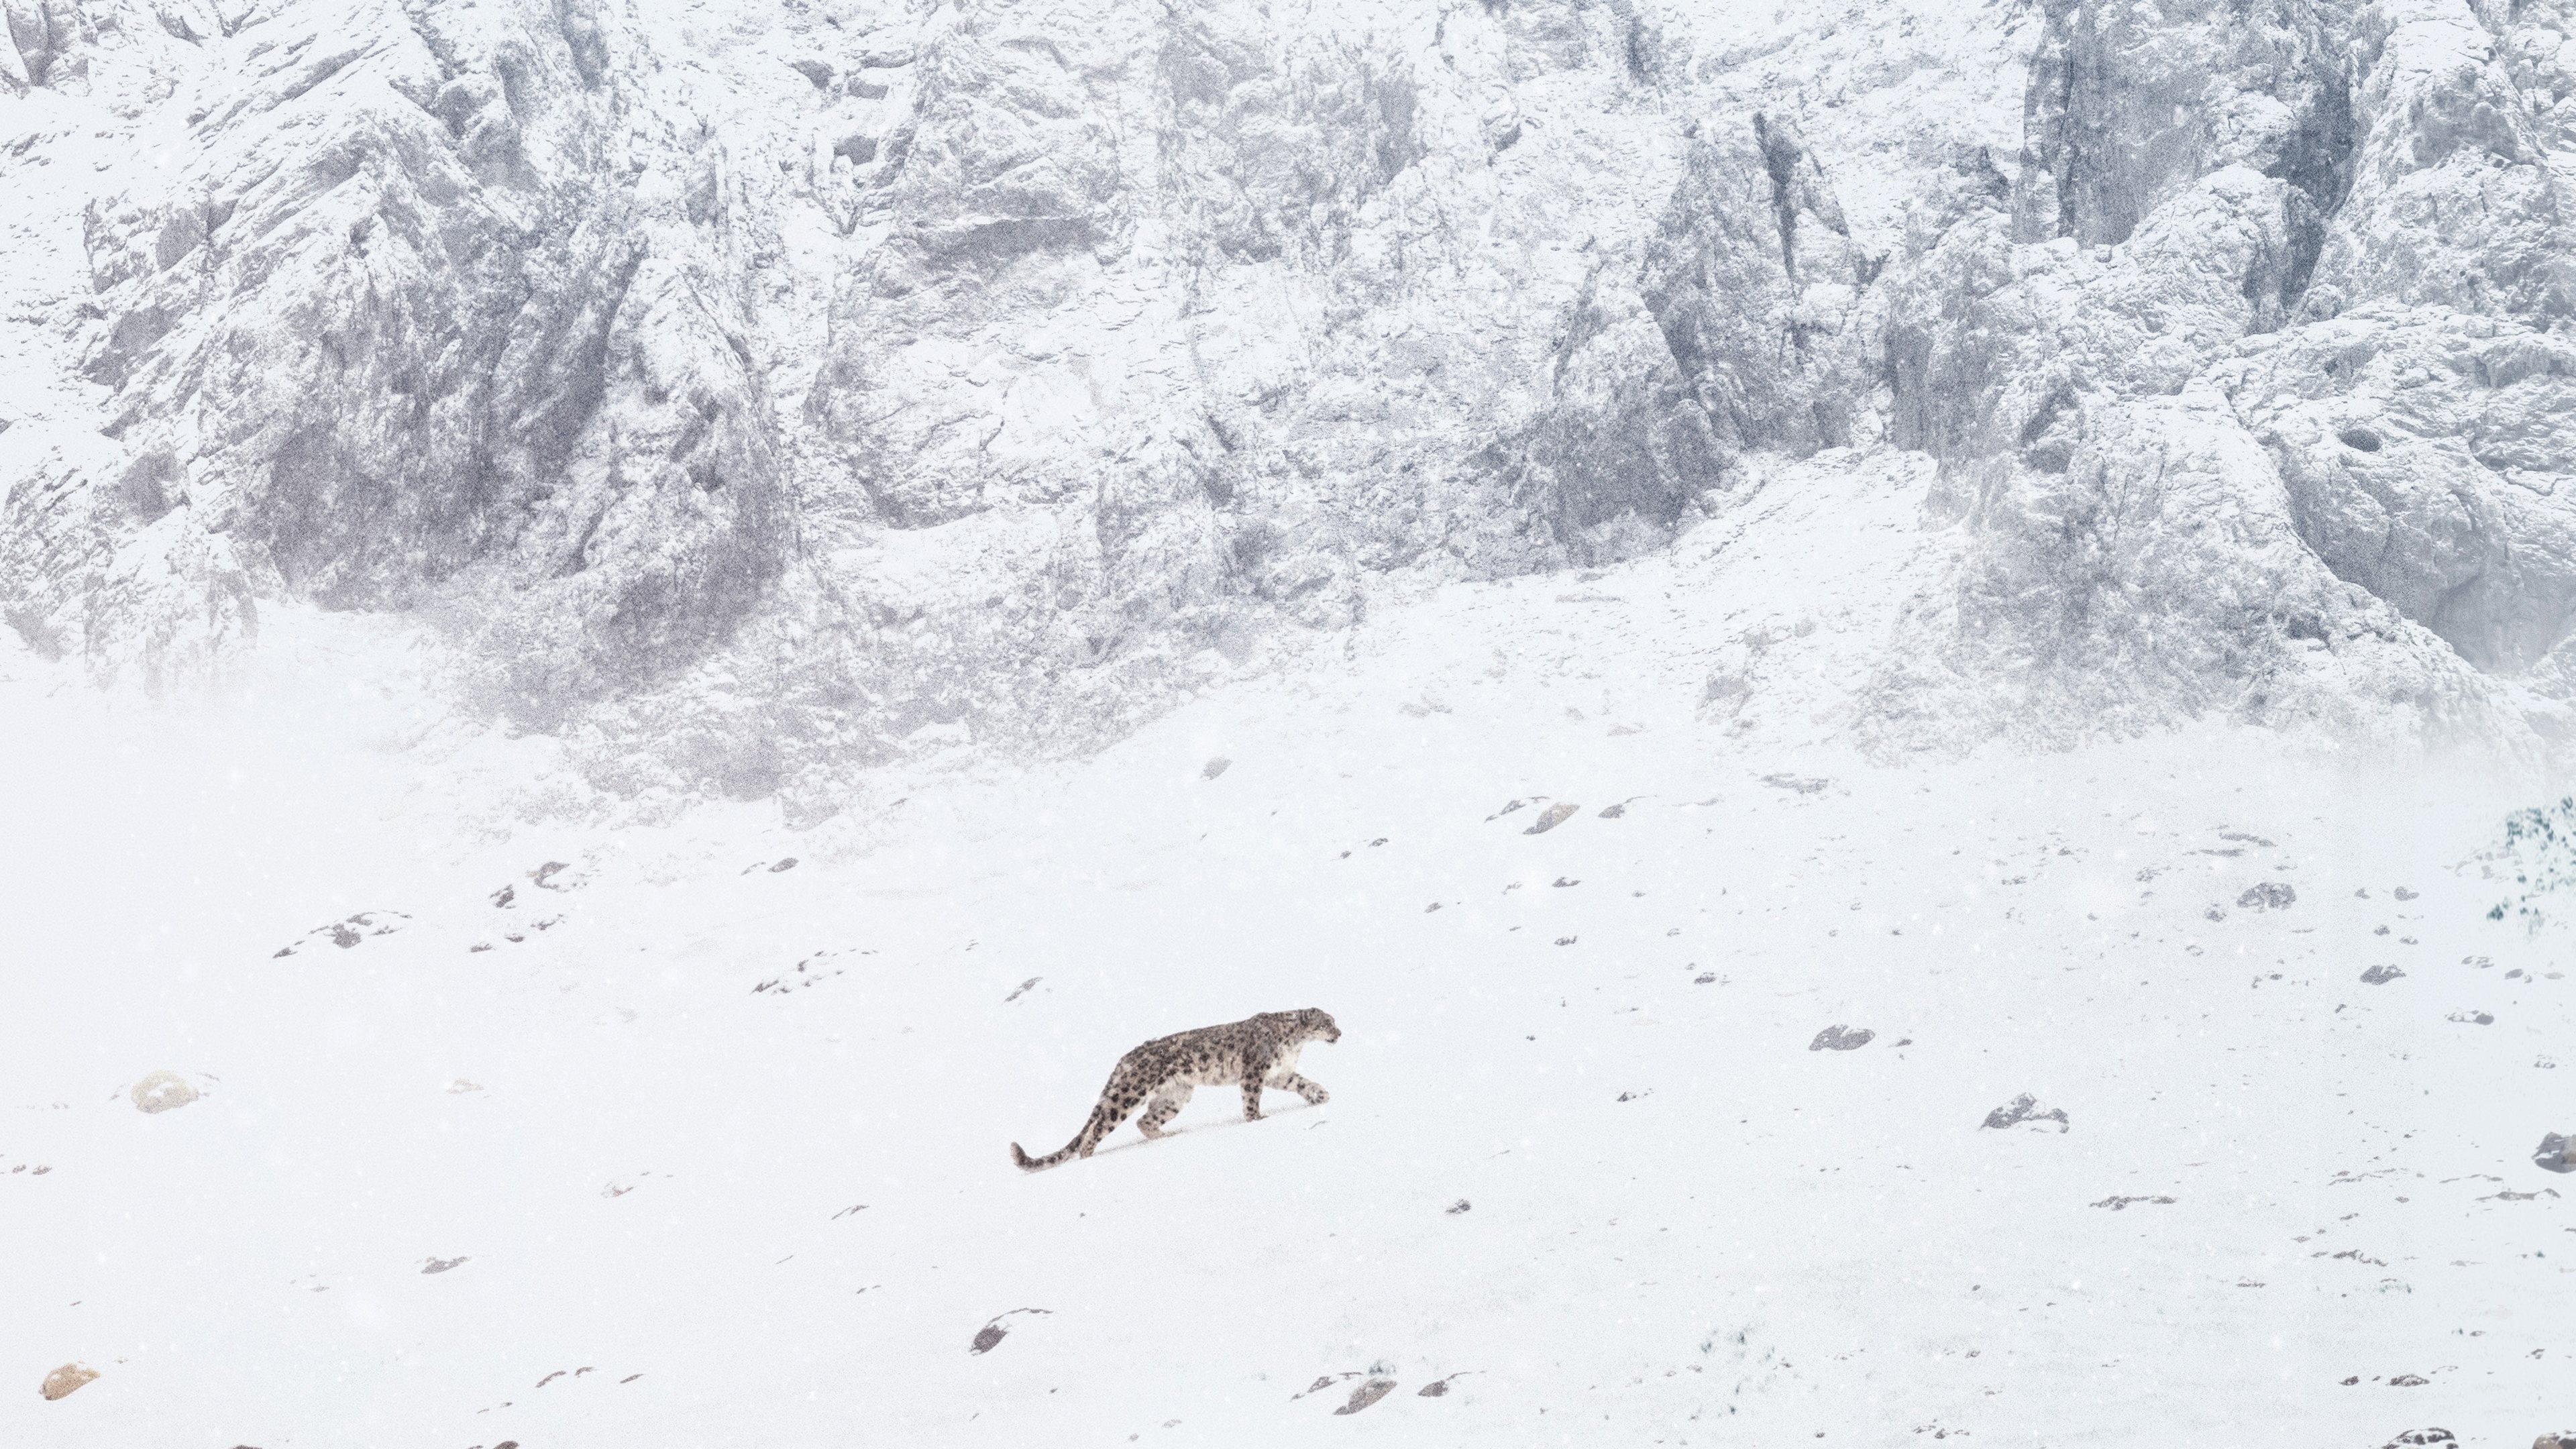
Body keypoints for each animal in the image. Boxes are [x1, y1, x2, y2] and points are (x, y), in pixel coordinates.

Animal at [1004, 1010, 1339, 1165]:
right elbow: (1251, 1100)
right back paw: (1089, 1155)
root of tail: (1125, 1058)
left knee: (1145, 1121)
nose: (1340, 1032)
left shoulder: (1279, 1074)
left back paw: (1169, 1136)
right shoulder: (1255, 1072)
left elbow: (1301, 1082)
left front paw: (1320, 1094)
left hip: (1175, 1097)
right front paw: (1257, 1120)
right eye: (1328, 1022)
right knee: (1100, 1125)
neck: (1294, 1042)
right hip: (1130, 1094)